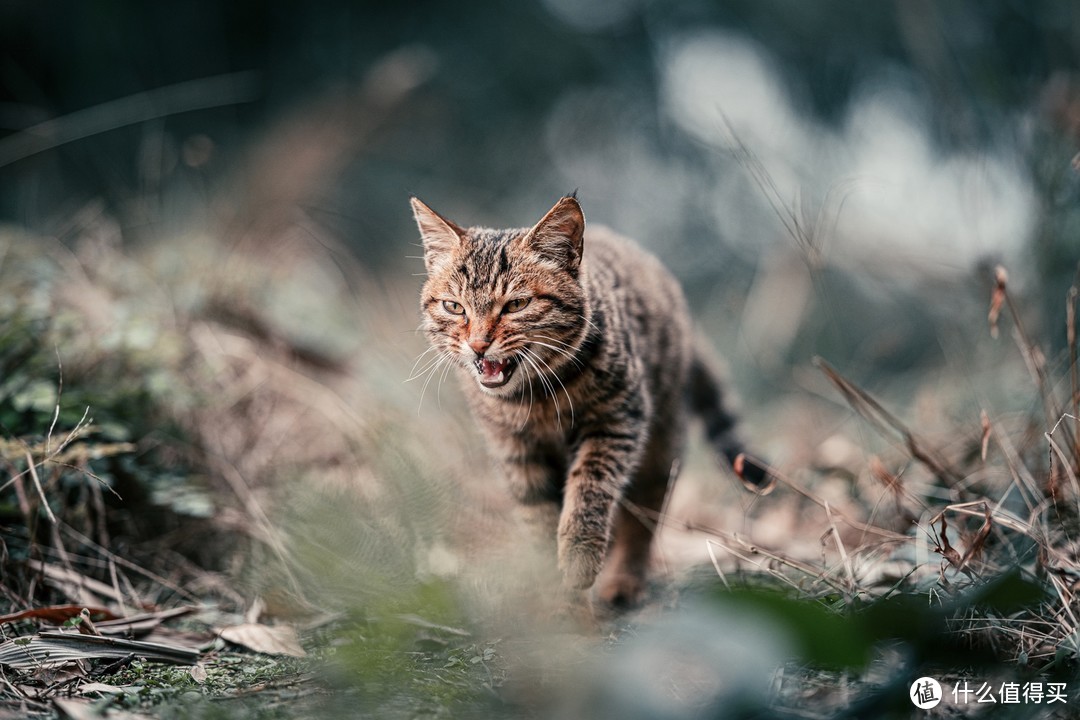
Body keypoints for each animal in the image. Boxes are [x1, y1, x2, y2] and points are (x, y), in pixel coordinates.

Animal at [408, 193, 773, 608]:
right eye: (454, 307)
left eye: (516, 304)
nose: (478, 345)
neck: (535, 399)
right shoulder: (515, 451)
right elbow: (538, 518)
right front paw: (556, 595)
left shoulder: (616, 420)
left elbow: (590, 488)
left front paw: (579, 557)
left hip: (660, 443)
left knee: (641, 517)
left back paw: (622, 581)